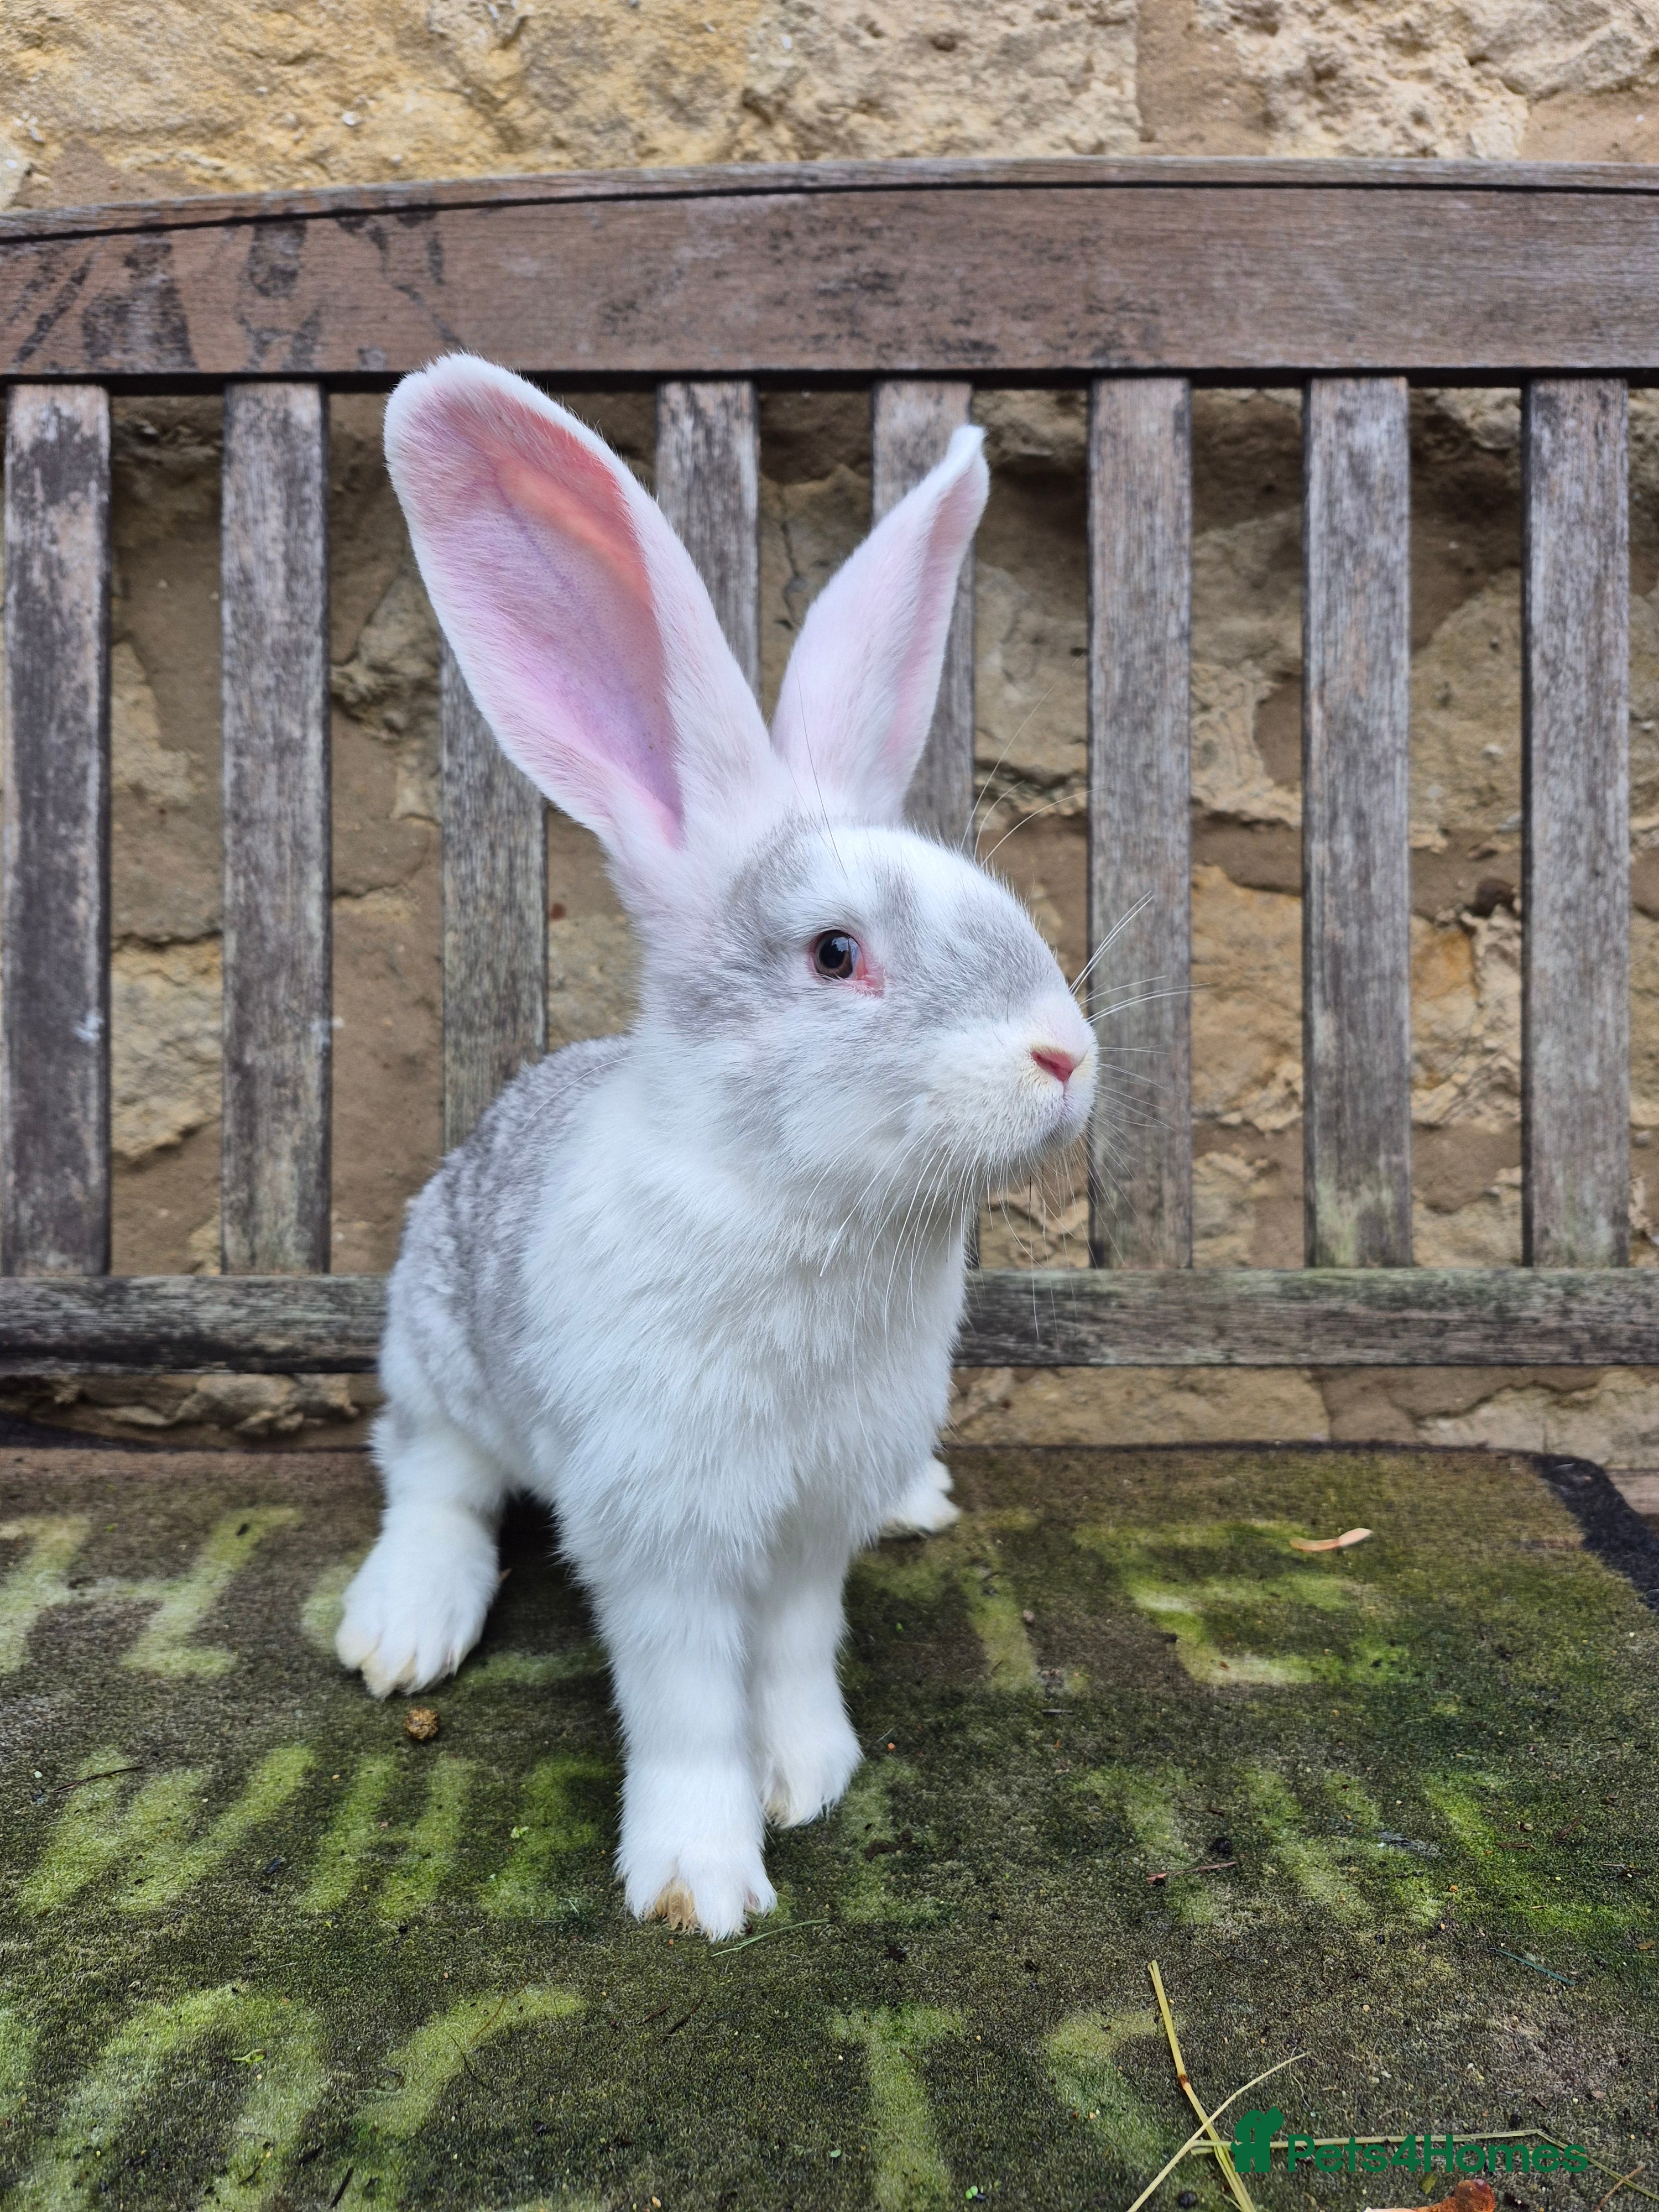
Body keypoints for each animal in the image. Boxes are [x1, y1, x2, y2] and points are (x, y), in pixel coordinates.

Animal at [336, 355, 1097, 1939]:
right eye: (833, 954)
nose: (1064, 1055)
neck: (807, 1210)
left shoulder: (811, 1519)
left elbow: (797, 1651)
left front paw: (808, 1774)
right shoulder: (661, 1522)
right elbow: (686, 1696)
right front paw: (701, 1877)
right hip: (434, 1344)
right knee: (431, 1474)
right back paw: (401, 1625)